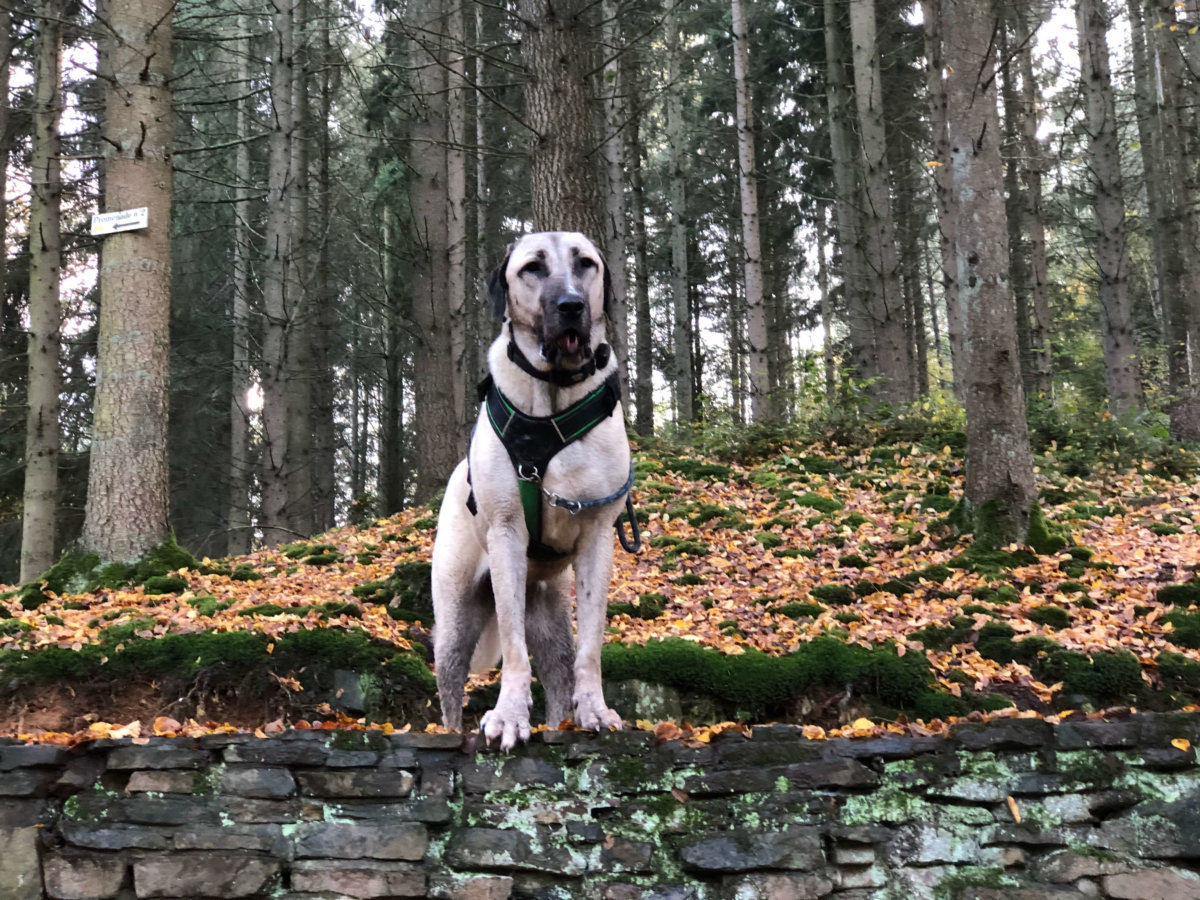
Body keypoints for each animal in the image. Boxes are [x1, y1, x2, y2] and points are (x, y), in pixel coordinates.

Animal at [434, 230, 638, 748]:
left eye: (586, 263)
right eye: (533, 268)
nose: (571, 305)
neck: (553, 403)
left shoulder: (598, 536)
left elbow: (591, 639)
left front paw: (595, 710)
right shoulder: (507, 533)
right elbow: (512, 644)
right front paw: (508, 716)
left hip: (547, 614)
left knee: (559, 673)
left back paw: (560, 721)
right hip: (454, 615)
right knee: (450, 682)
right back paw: (448, 732)